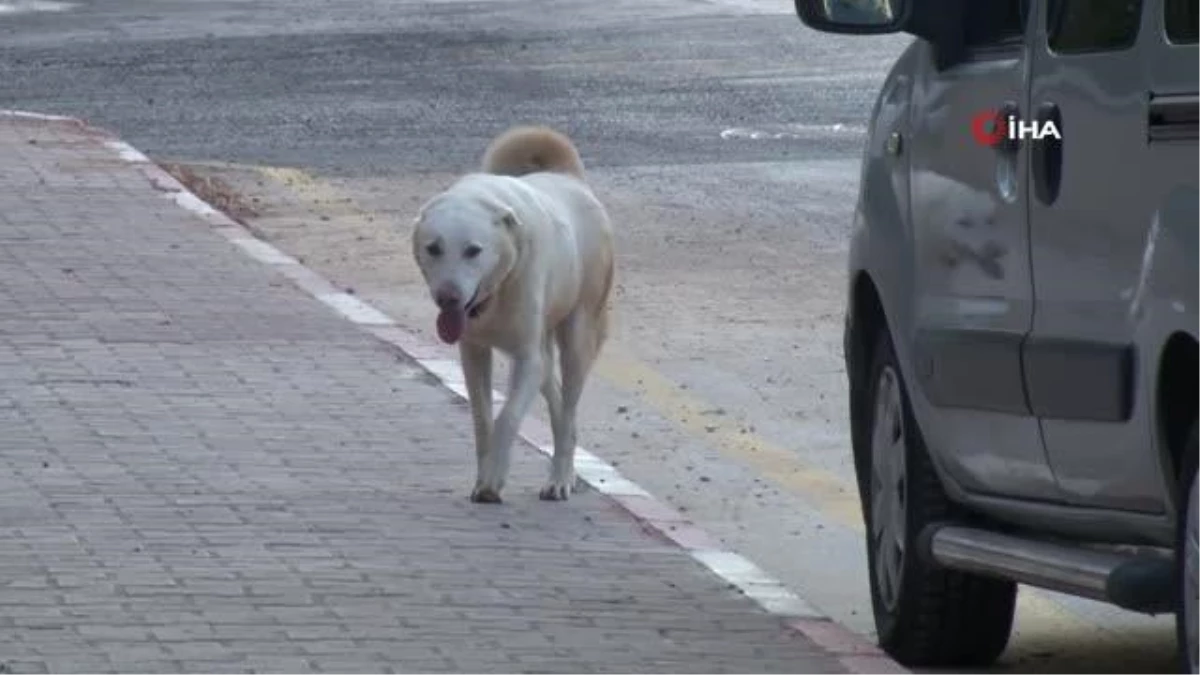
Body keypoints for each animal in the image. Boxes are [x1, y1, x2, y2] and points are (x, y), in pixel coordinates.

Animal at [412, 126, 619, 502]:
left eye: (473, 250)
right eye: (433, 248)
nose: (448, 298)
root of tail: (568, 177)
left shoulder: (526, 357)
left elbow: (508, 417)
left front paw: (495, 477)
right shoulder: (473, 353)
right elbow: (482, 418)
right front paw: (484, 476)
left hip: (578, 335)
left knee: (568, 407)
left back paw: (560, 478)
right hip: (544, 348)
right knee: (555, 397)